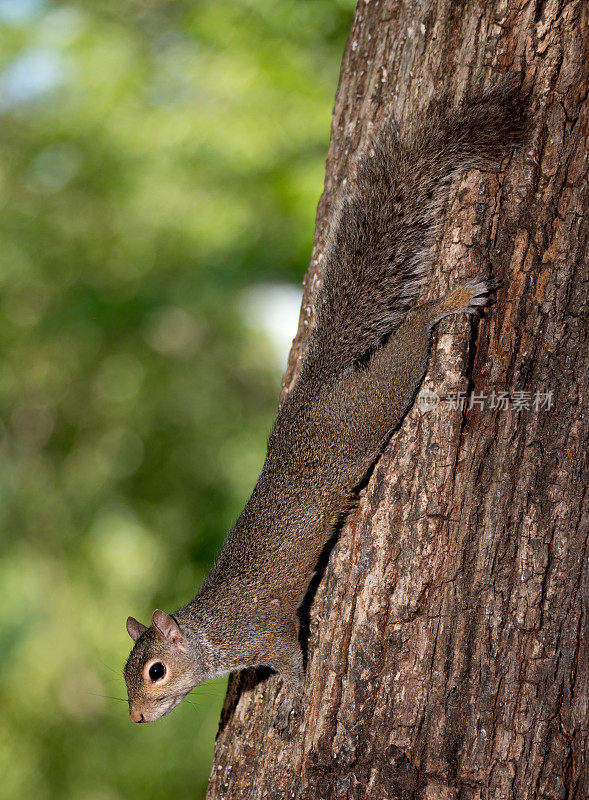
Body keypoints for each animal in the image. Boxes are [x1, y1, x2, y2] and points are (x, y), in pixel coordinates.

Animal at [121, 83, 520, 724]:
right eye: (126, 674)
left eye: (156, 670)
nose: (136, 716)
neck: (213, 635)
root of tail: (315, 387)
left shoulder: (269, 630)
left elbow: (292, 655)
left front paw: (293, 696)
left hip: (374, 402)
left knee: (411, 336)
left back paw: (448, 301)